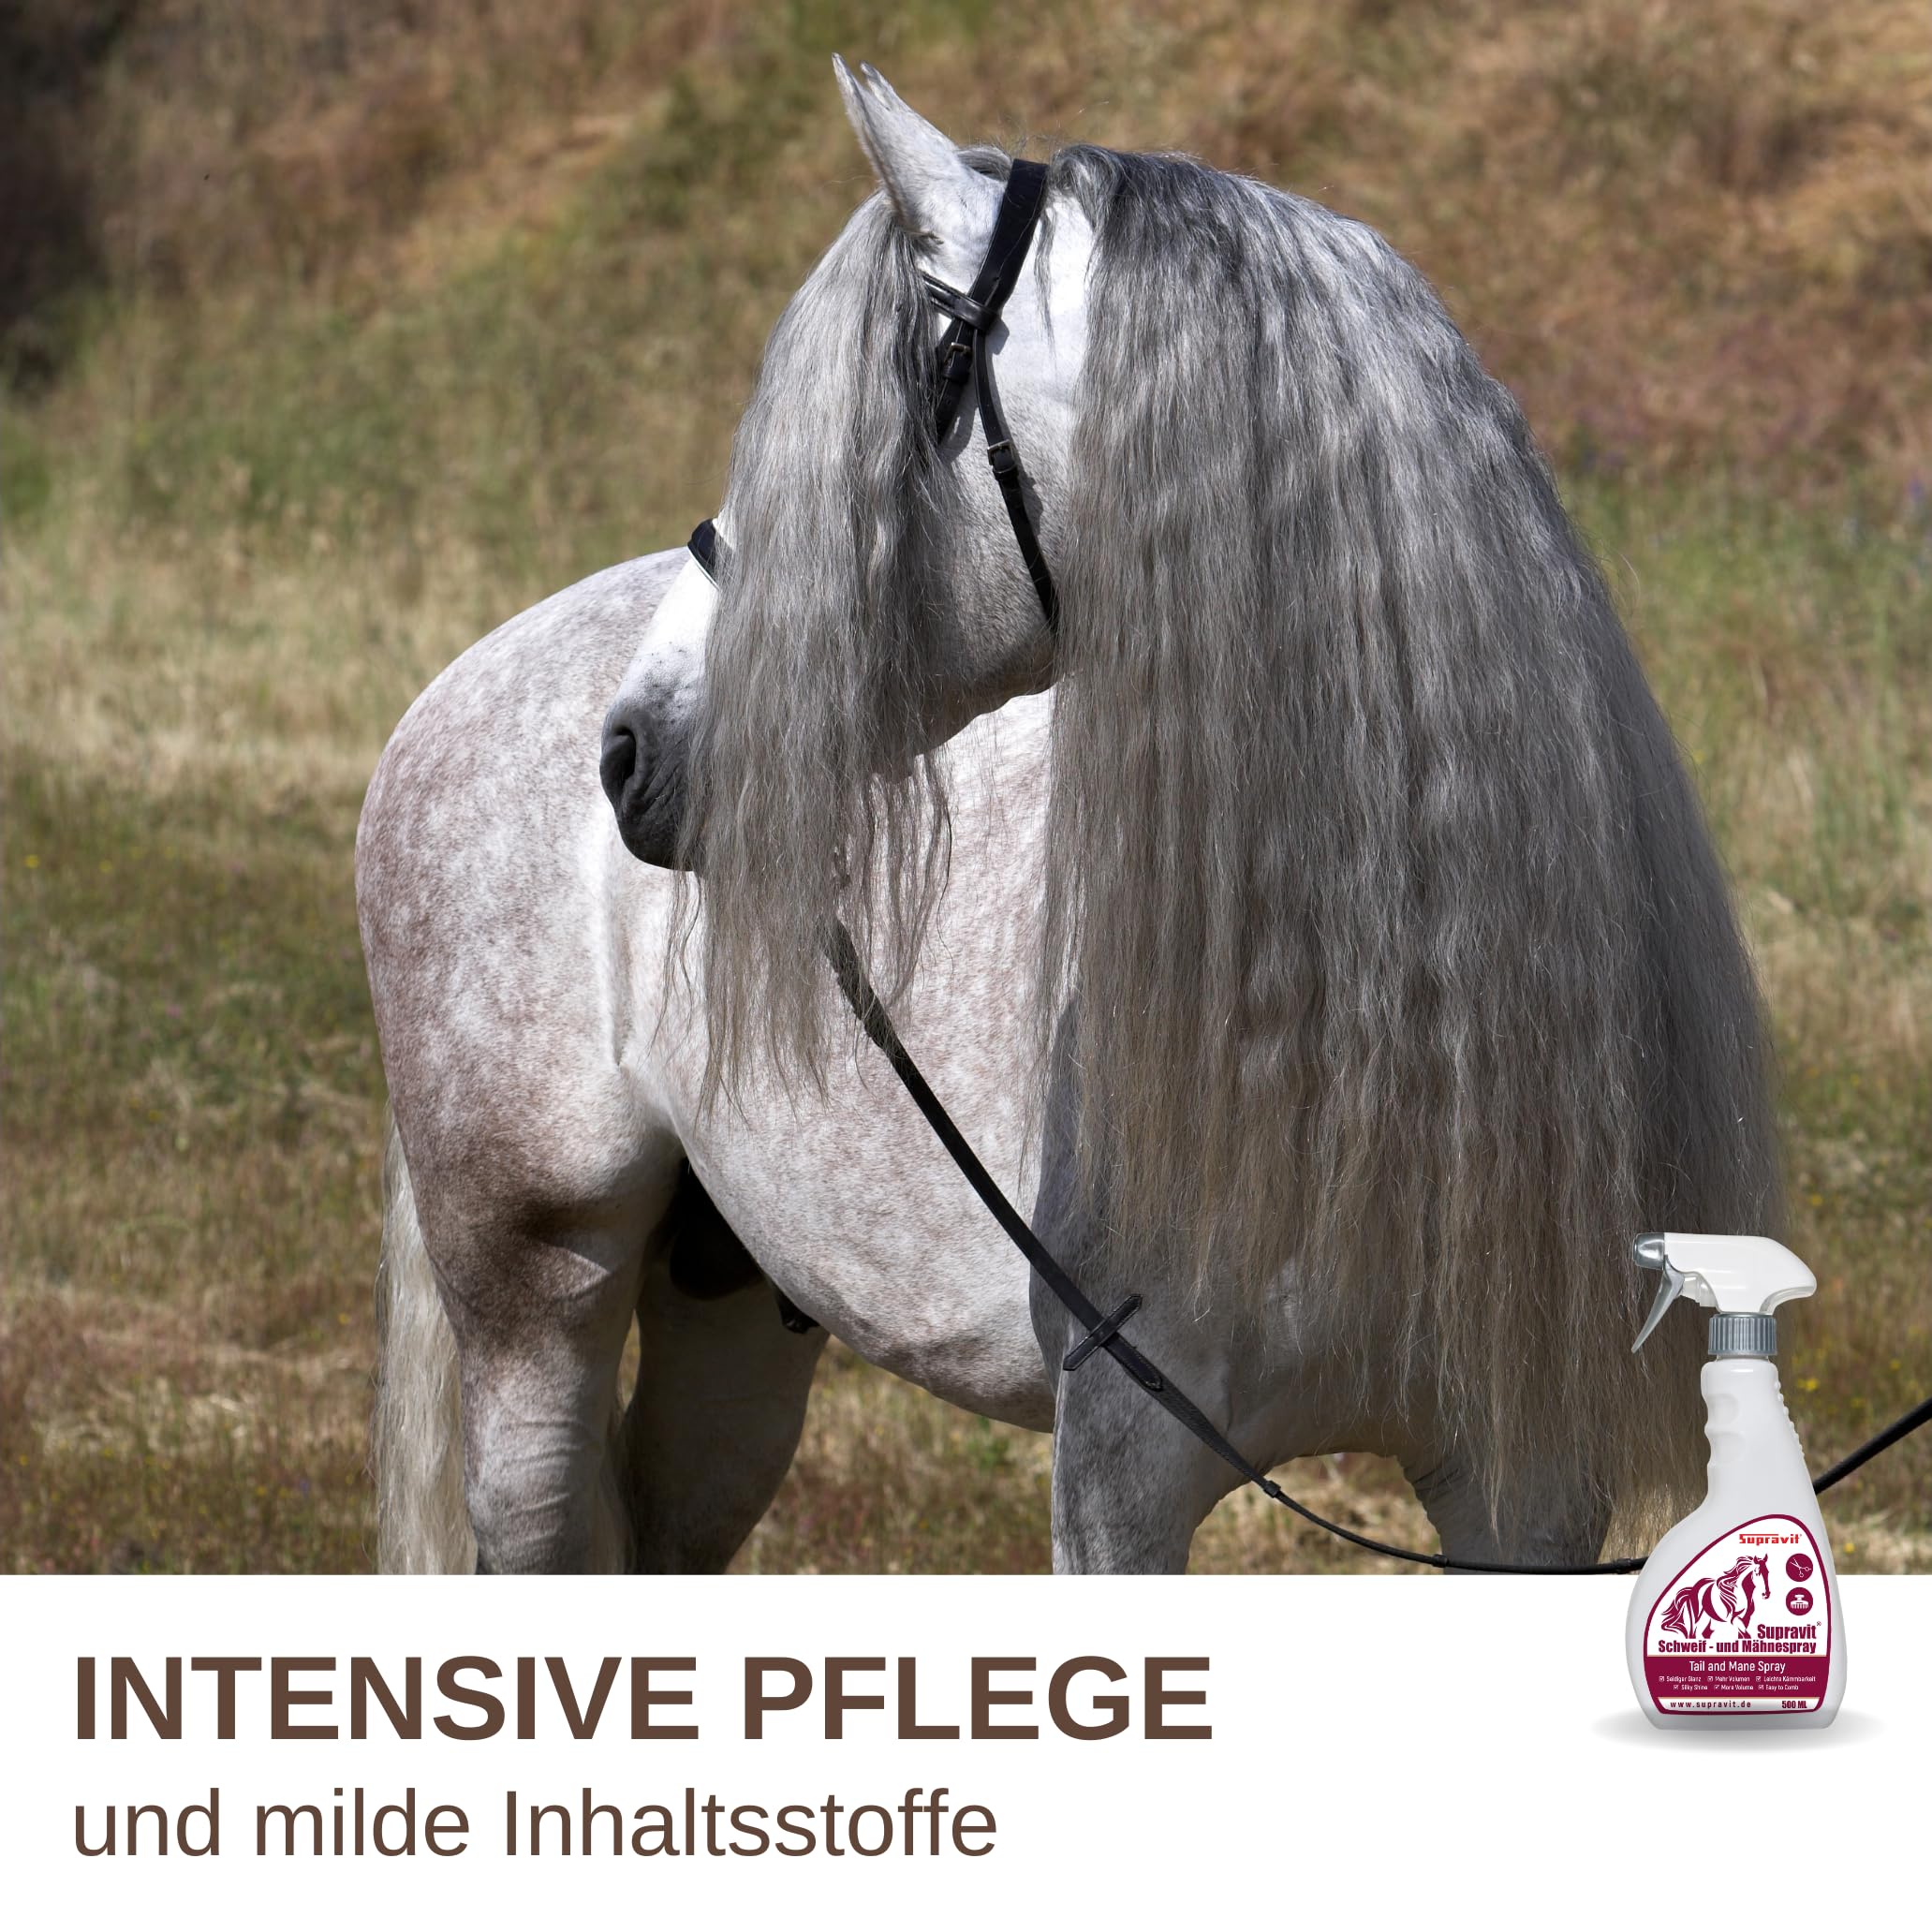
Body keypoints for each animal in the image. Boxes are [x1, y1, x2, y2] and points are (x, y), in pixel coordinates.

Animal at [356, 61, 1780, 1575]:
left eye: (864, 435)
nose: (628, 751)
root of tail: (458, 682)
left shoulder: (1523, 1488)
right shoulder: (1119, 1463)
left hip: (729, 1305)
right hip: (531, 1291)